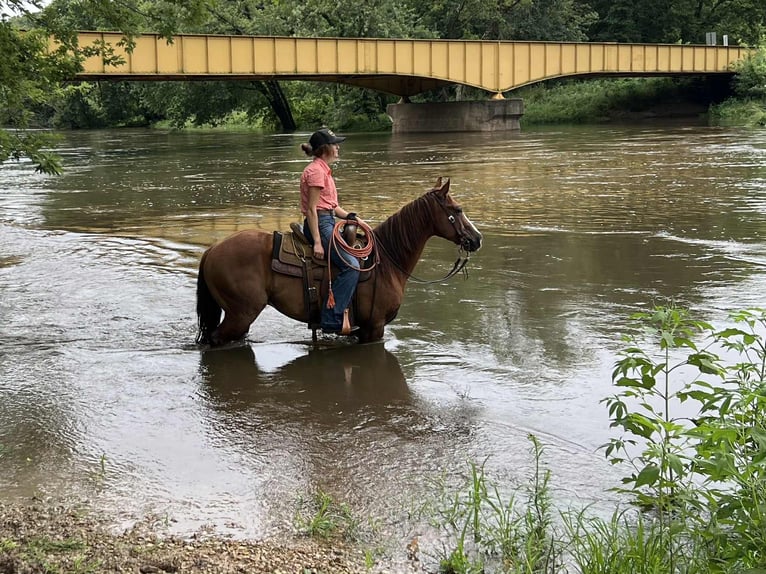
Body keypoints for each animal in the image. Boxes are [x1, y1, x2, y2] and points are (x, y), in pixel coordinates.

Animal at [195, 177, 482, 345]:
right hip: (240, 314)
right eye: (457, 210)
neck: (387, 263)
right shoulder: (374, 328)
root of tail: (212, 250)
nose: (477, 239)